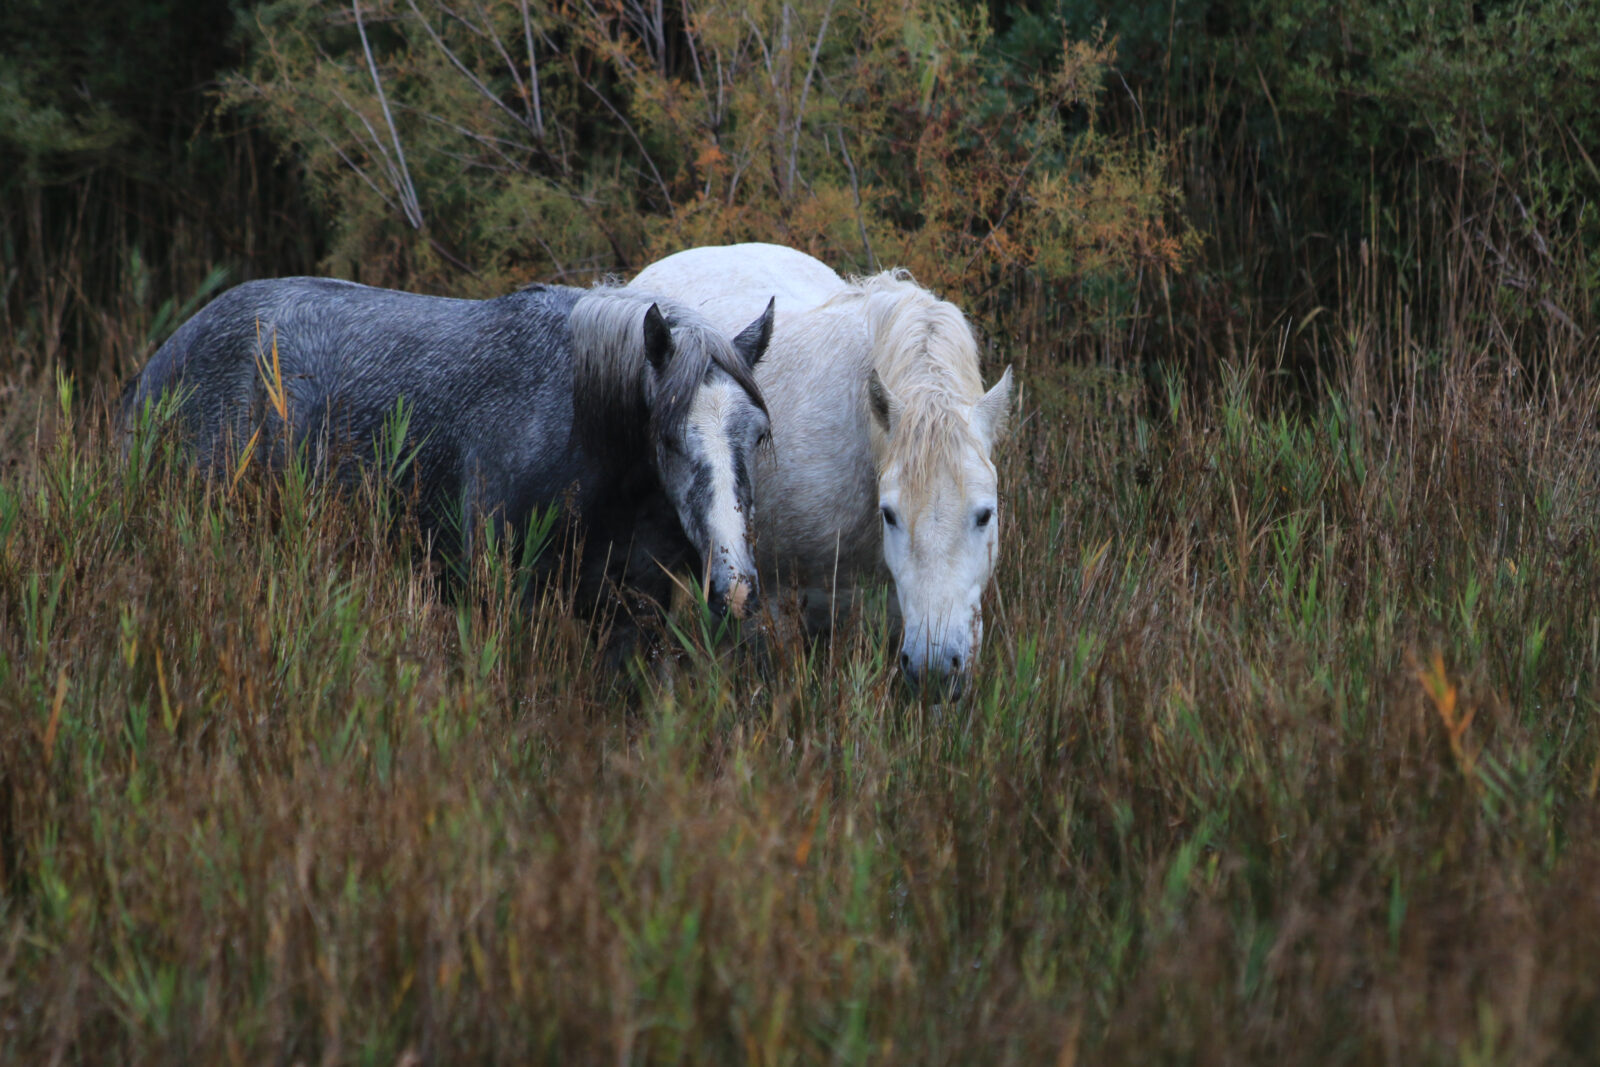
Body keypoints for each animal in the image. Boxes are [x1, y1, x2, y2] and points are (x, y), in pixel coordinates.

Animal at [123, 278, 774, 627]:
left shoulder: (630, 607)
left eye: (758, 436)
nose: (737, 588)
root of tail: (159, 363)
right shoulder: (501, 593)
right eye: (667, 437)